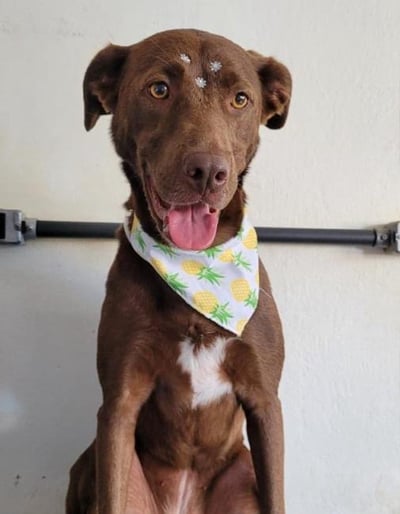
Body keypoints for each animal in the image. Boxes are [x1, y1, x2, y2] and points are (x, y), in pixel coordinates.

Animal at [66, 29, 291, 514]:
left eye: (241, 99)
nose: (208, 171)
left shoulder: (266, 402)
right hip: (92, 464)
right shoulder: (118, 404)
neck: (196, 272)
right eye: (158, 89)